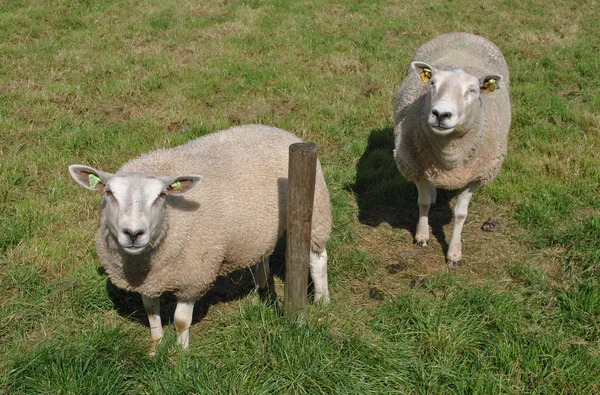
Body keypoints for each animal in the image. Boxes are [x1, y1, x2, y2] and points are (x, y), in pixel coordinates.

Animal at [70, 124, 332, 352]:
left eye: (161, 196)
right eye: (109, 193)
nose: (133, 233)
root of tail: (275, 129)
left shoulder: (193, 276)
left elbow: (180, 321)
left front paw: (181, 353)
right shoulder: (150, 278)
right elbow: (151, 310)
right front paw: (156, 344)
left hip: (316, 209)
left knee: (318, 258)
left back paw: (322, 300)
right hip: (260, 227)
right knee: (262, 254)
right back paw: (262, 285)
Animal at [394, 33, 510, 266]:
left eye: (473, 91)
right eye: (432, 83)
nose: (440, 114)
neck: (449, 157)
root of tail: (465, 33)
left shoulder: (475, 176)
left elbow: (460, 215)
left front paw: (454, 253)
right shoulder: (415, 166)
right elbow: (423, 203)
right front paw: (422, 236)